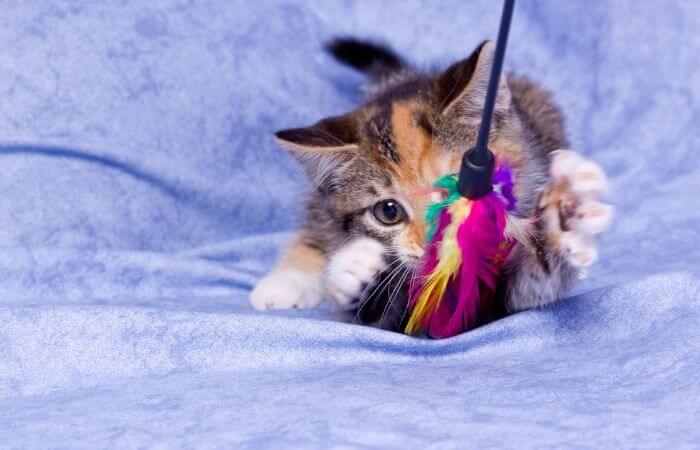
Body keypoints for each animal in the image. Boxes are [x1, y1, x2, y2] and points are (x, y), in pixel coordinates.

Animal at [252, 38, 612, 332]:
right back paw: (286, 280)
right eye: (388, 212)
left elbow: (527, 283)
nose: (435, 243)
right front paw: (356, 271)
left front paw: (562, 217)